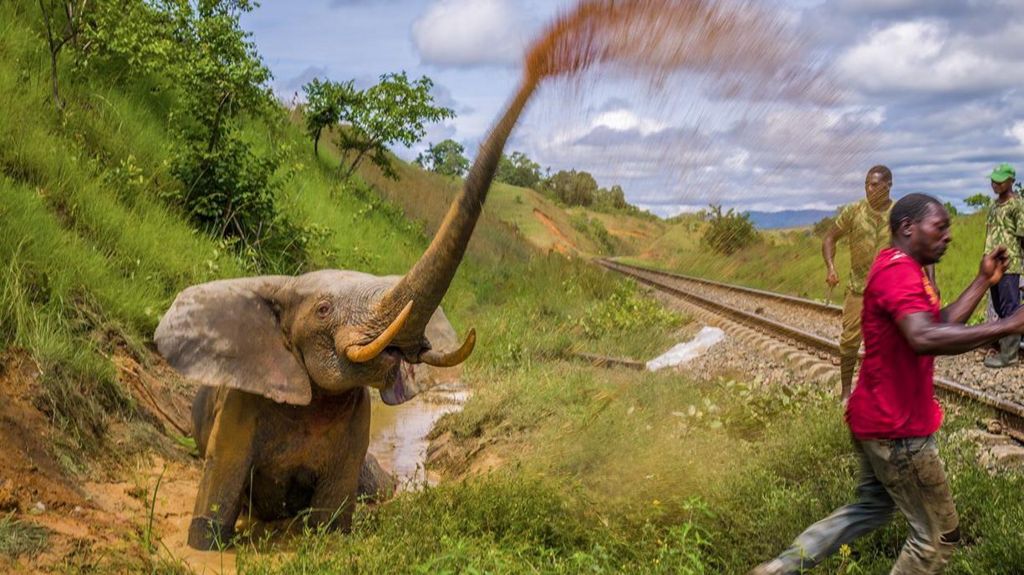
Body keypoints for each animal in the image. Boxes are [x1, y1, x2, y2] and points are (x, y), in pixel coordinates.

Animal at [155, 73, 540, 548]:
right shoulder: (240, 405)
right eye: (323, 309)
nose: (538, 68)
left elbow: (332, 519)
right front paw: (206, 547)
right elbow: (217, 497)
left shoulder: (357, 420)